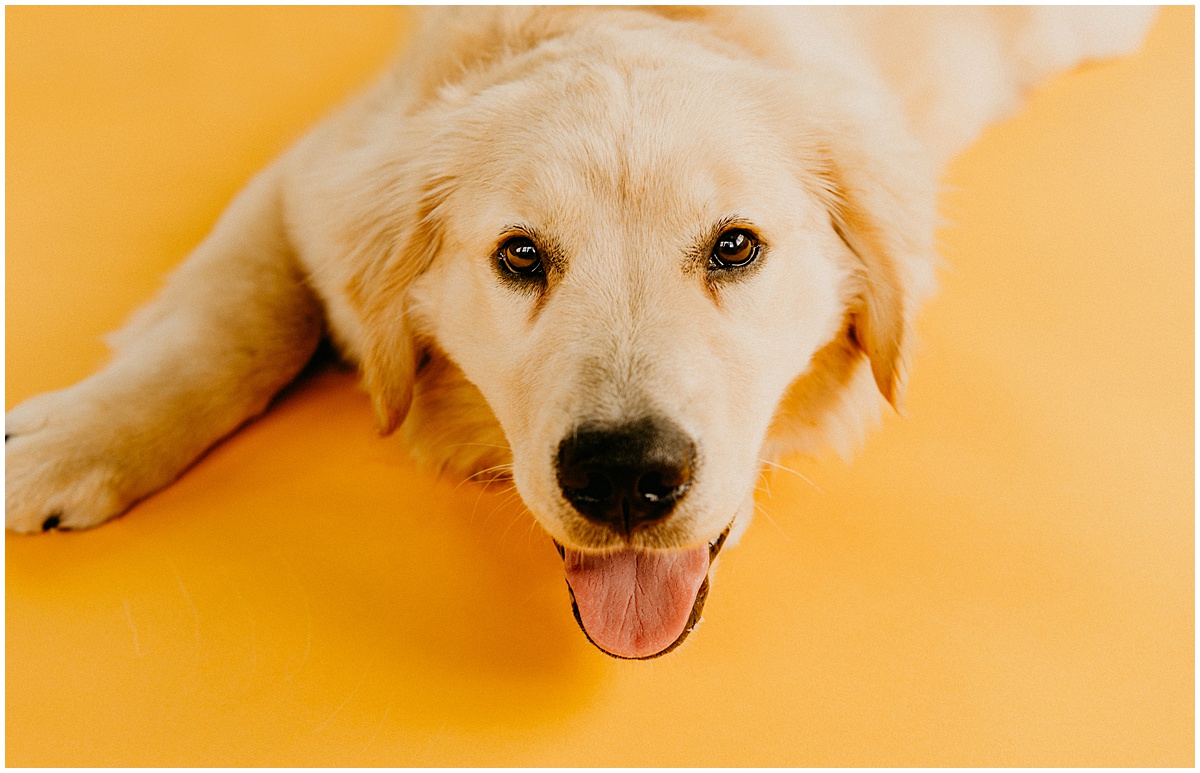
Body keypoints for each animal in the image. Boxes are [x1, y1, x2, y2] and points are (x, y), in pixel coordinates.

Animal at [7, 6, 1152, 657]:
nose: (625, 474)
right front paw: (73, 437)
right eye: (521, 255)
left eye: (735, 247)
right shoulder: (322, 169)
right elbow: (232, 320)